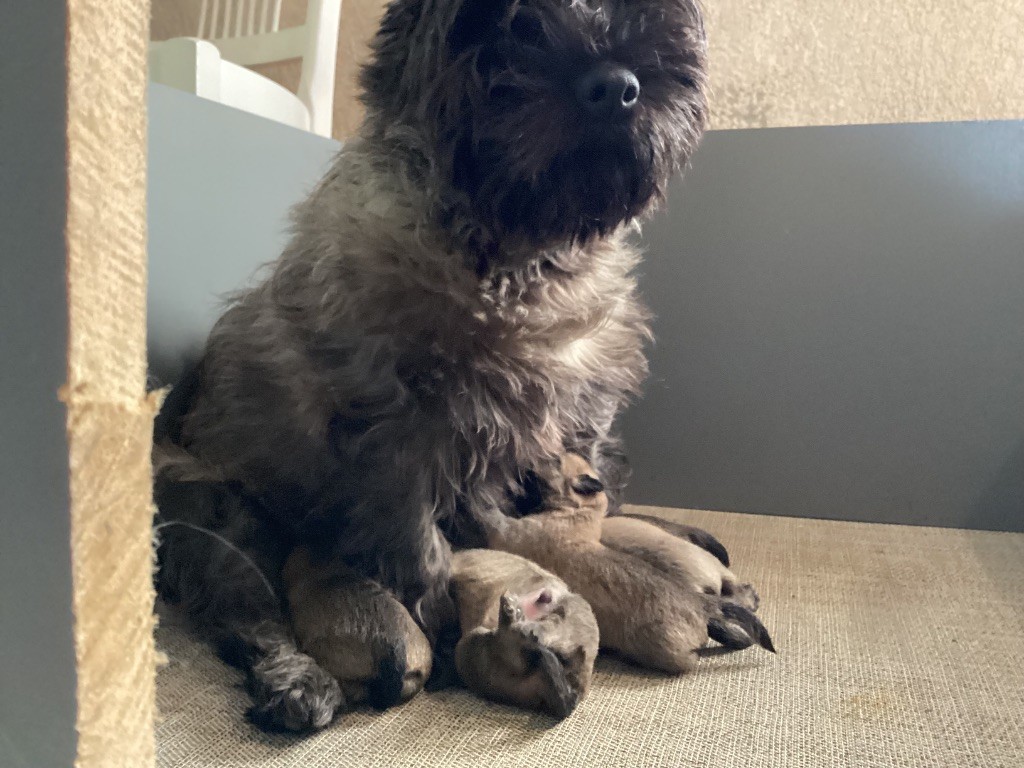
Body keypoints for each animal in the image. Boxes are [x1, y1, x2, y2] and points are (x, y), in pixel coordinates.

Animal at [485, 456, 770, 671]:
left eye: (554, 460)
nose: (526, 460)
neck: (579, 513)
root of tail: (701, 603)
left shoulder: (508, 531)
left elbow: (493, 516)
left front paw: (484, 497)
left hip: (671, 653)